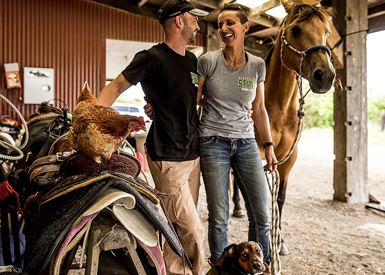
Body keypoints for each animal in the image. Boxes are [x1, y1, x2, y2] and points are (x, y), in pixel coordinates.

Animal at [256, 0, 334, 256]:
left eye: (326, 32)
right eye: (295, 30)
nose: (325, 76)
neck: (279, 108)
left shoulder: (289, 158)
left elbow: (279, 198)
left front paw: (279, 241)